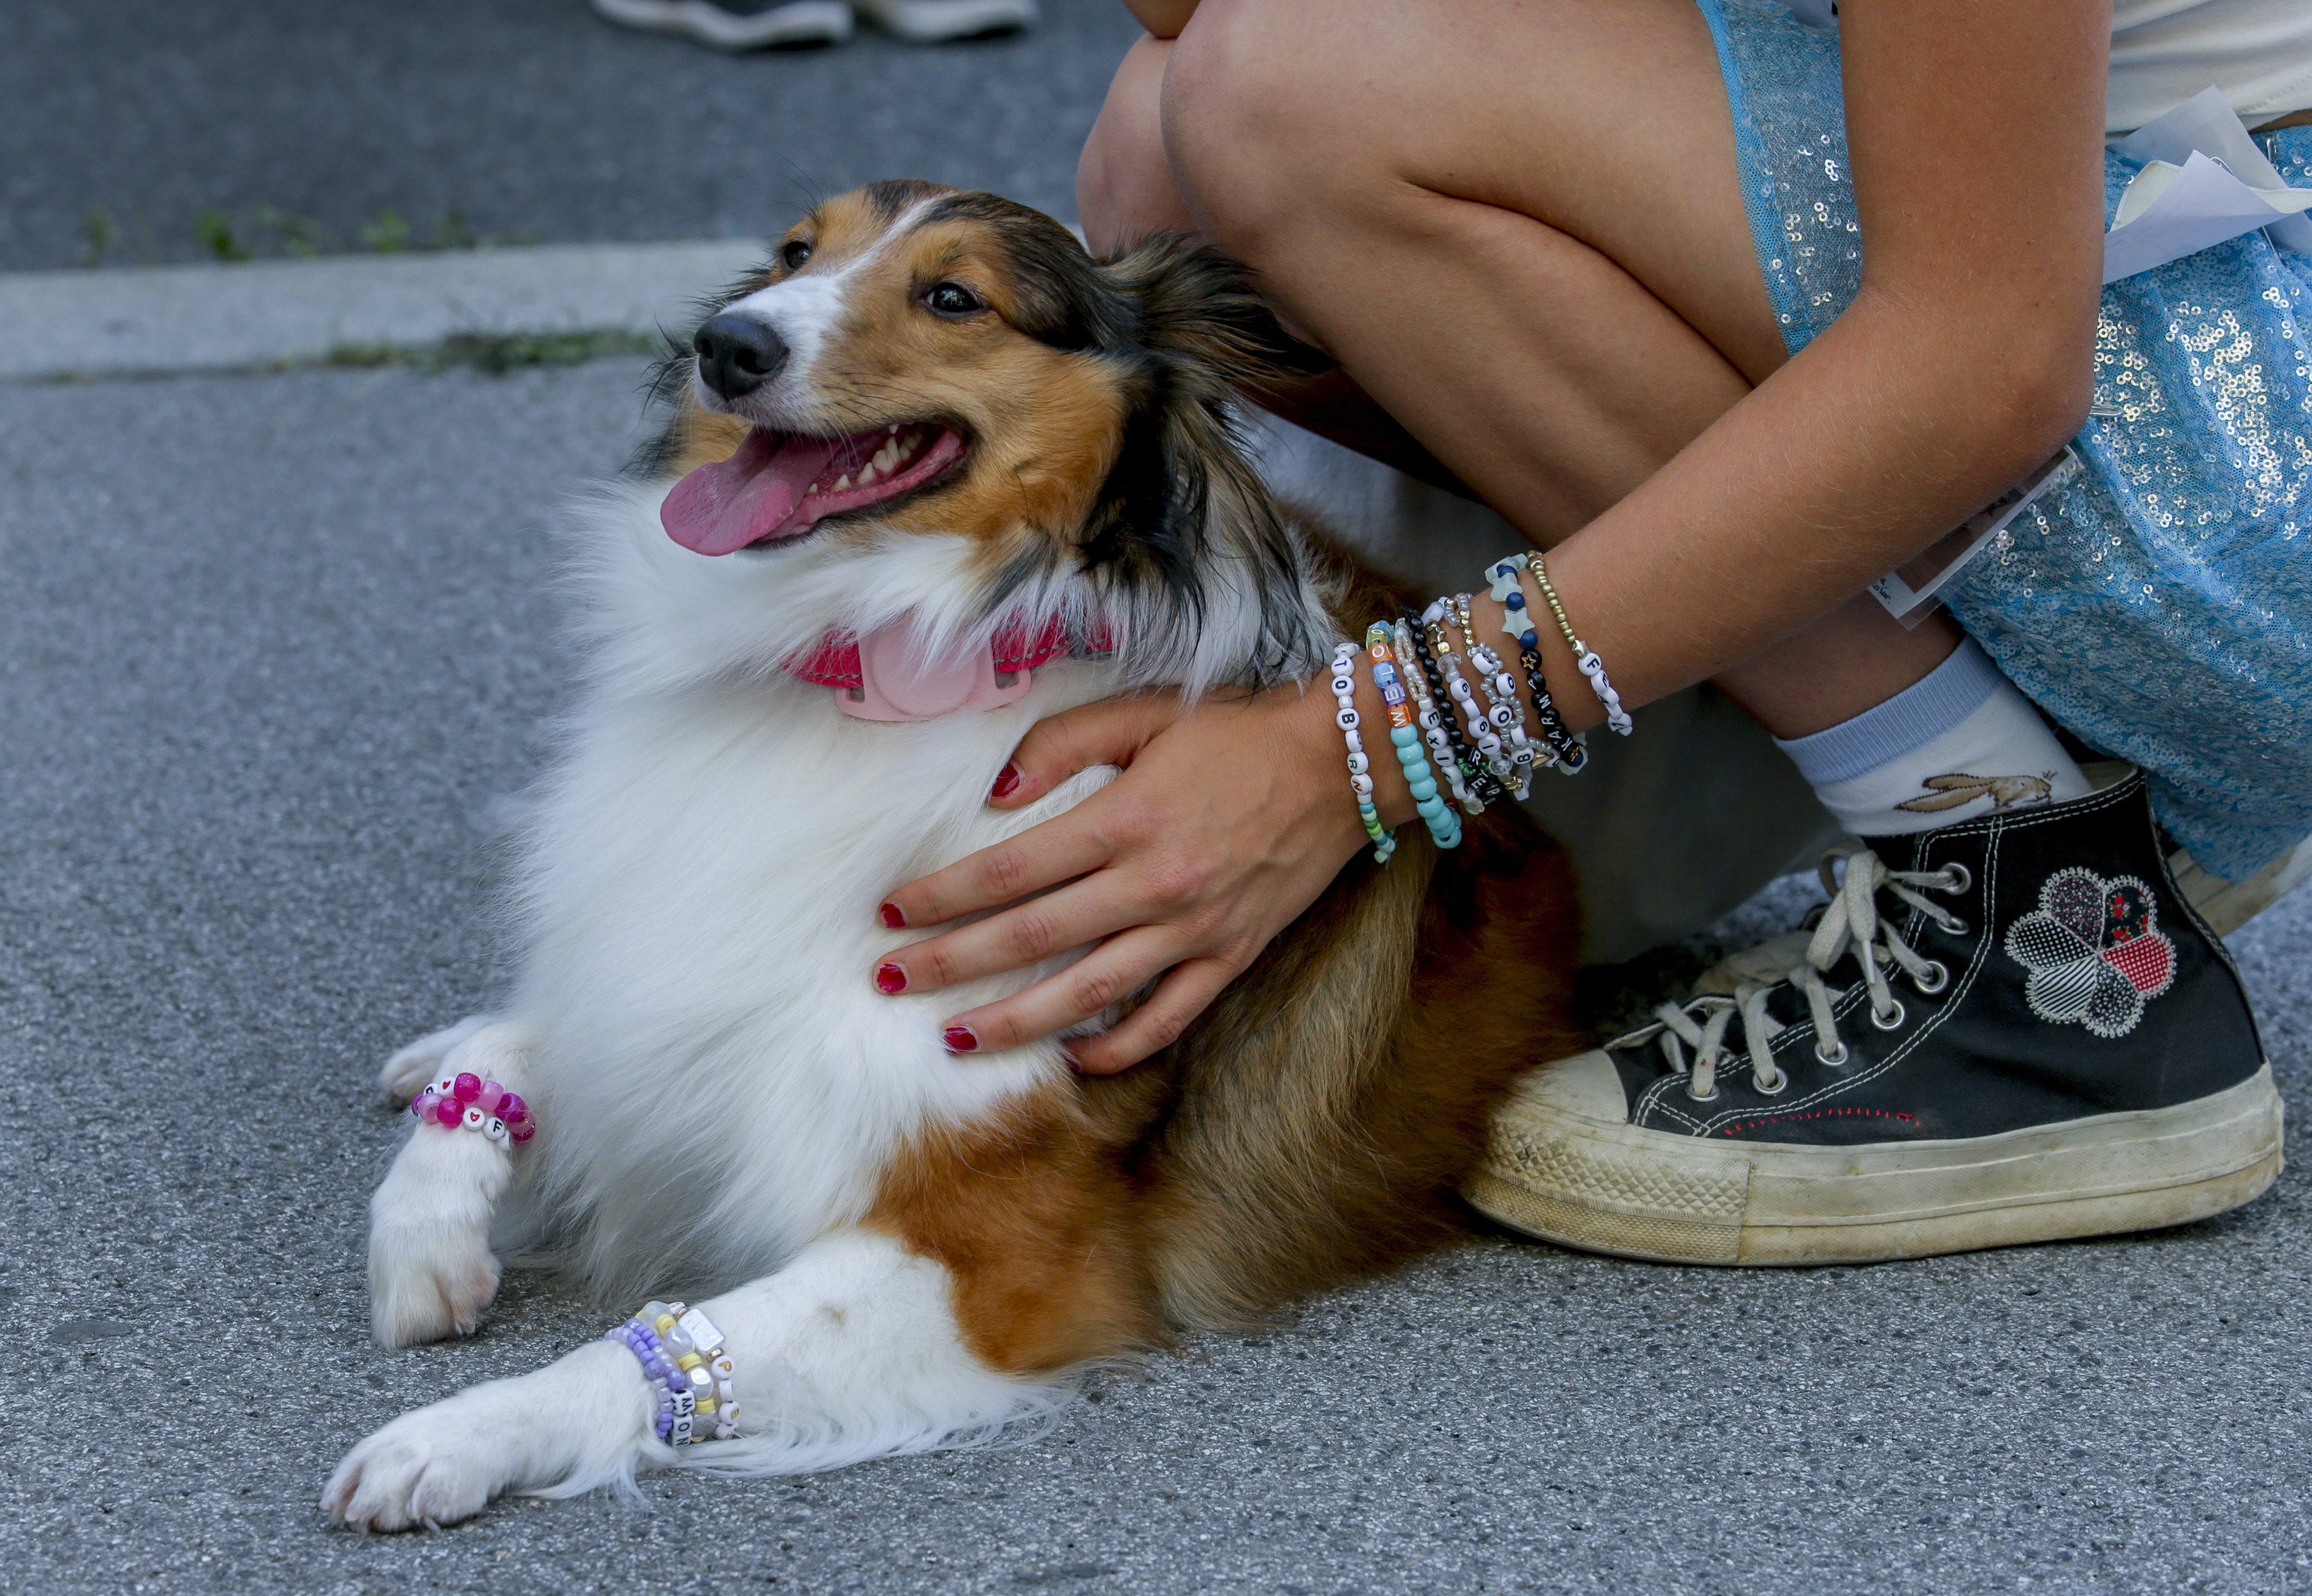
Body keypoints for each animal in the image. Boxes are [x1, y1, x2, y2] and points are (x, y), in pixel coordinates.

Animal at [326, 180, 1581, 1526]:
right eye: (794, 253)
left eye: (952, 297)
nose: (730, 346)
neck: (879, 654)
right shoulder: (664, 976)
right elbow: (551, 1039)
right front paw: (429, 1237)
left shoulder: (992, 1253)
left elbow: (652, 1346)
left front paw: (456, 1434)